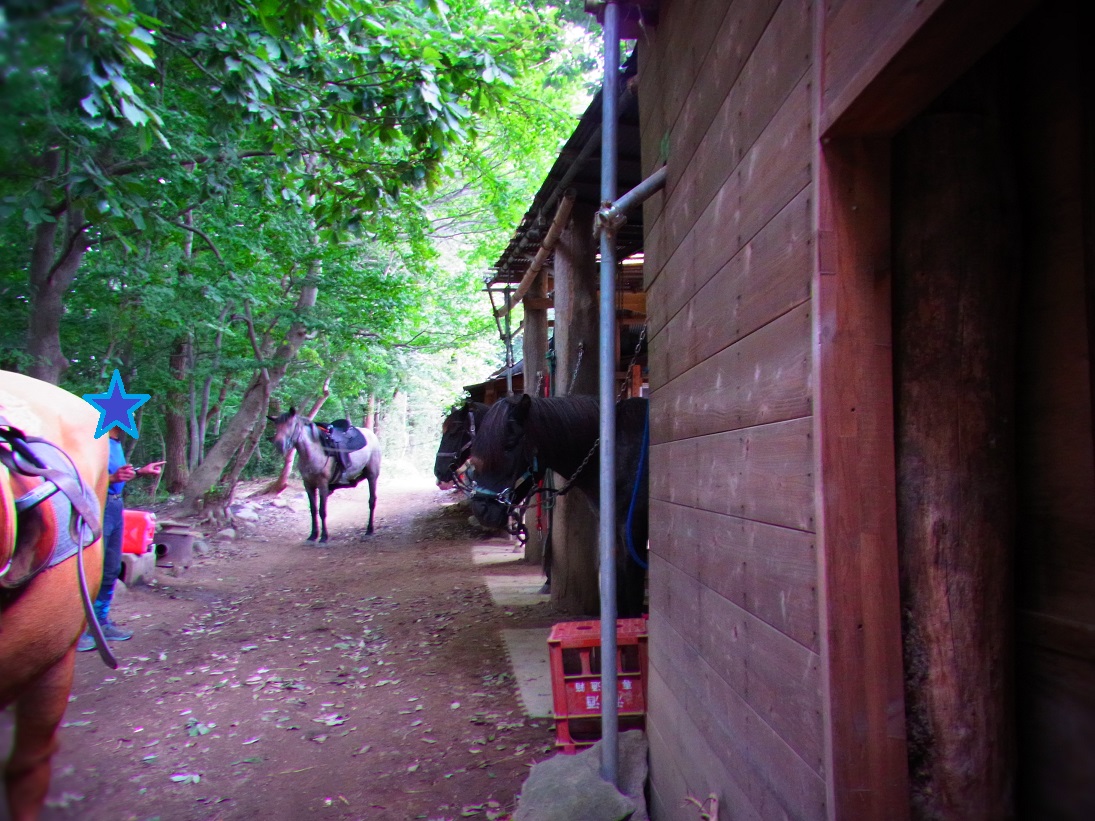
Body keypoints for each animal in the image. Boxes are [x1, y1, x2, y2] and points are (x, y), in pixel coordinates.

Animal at [268, 408, 381, 542]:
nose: (279, 445)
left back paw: (370, 529)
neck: (313, 451)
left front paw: (324, 537)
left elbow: (322, 511)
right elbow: (313, 510)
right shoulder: (308, 485)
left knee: (372, 500)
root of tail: (372, 435)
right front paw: (313, 535)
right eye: (276, 426)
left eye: (291, 424)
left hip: (372, 475)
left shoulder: (322, 484)